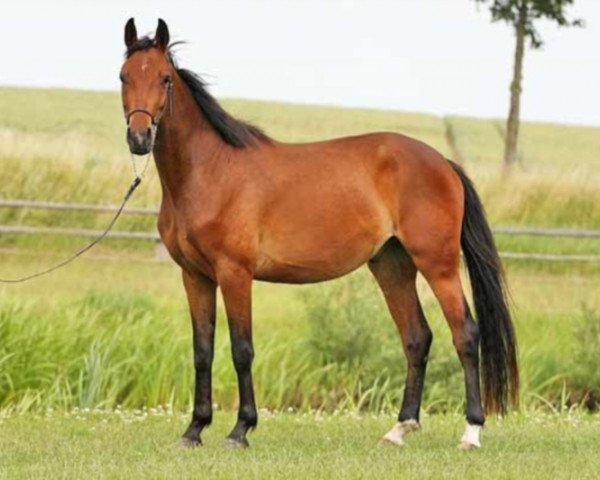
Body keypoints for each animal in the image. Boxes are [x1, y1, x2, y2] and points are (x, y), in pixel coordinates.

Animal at [120, 18, 516, 450]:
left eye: (164, 78)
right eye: (124, 76)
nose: (139, 137)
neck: (209, 170)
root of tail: (443, 163)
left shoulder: (234, 273)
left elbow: (241, 349)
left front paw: (241, 429)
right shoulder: (195, 276)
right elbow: (202, 351)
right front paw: (194, 430)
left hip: (437, 264)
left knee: (465, 334)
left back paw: (471, 431)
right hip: (392, 265)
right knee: (416, 337)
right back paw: (400, 429)